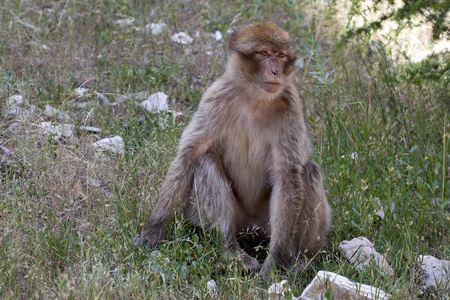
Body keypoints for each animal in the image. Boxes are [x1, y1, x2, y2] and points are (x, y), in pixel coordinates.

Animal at [134, 21, 330, 274]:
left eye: (280, 55)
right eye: (264, 53)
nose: (276, 71)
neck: (255, 98)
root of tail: (252, 228)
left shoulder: (291, 104)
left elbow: (287, 174)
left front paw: (274, 264)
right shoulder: (217, 96)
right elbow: (189, 155)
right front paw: (154, 231)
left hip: (269, 223)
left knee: (308, 172)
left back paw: (300, 259)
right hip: (215, 216)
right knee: (205, 160)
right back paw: (231, 250)